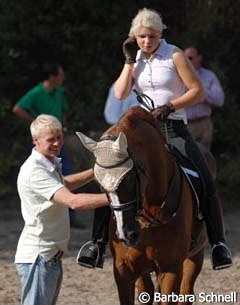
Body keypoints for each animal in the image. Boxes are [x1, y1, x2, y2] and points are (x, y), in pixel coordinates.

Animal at [76, 105, 206, 302]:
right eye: (99, 184)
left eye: (130, 178)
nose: (126, 235)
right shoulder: (123, 269)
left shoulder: (171, 268)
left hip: (195, 256)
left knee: (186, 292)